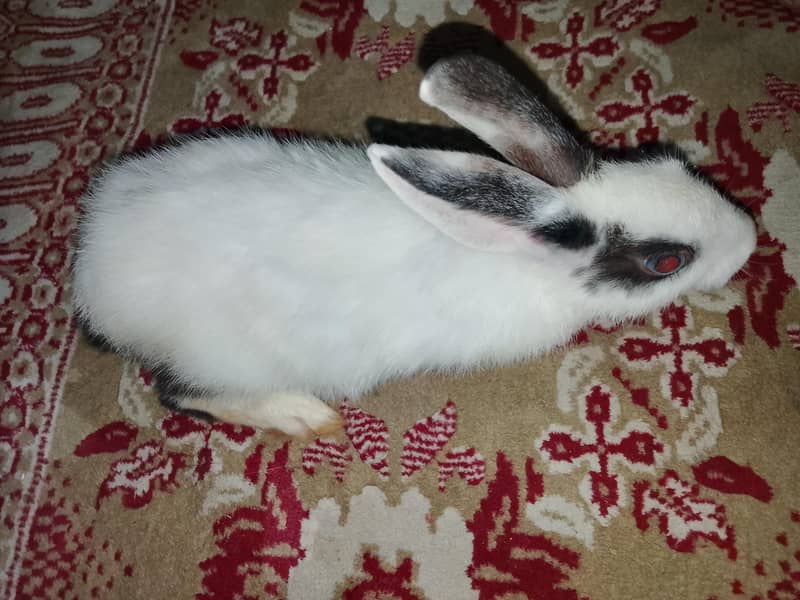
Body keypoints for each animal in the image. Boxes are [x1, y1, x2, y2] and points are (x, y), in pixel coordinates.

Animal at [71, 54, 756, 439]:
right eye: (666, 262)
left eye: (673, 160)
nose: (750, 240)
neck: (531, 259)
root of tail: (92, 279)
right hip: (228, 358)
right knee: (179, 394)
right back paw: (302, 416)